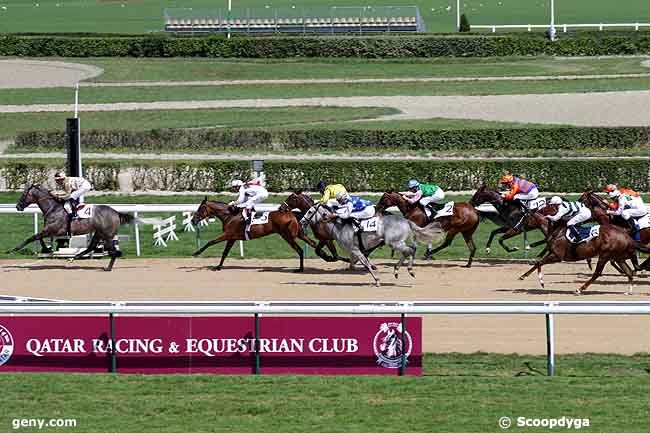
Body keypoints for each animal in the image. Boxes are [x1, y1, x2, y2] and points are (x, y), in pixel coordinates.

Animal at [9, 185, 161, 270]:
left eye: (24, 194)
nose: (17, 206)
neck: (53, 208)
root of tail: (116, 213)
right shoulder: (51, 231)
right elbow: (38, 238)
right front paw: (46, 249)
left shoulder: (53, 230)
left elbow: (32, 237)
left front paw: (13, 250)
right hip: (99, 233)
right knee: (91, 247)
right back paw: (73, 258)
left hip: (107, 235)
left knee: (113, 252)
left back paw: (108, 268)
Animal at [189, 198, 318, 272]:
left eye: (200, 208)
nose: (193, 220)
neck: (230, 215)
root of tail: (292, 213)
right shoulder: (232, 238)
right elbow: (225, 252)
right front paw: (218, 267)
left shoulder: (227, 234)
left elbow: (210, 242)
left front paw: (196, 252)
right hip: (297, 234)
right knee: (312, 243)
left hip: (288, 236)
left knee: (300, 250)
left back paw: (300, 269)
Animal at [302, 204, 442, 286]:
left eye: (309, 212)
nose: (302, 221)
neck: (339, 225)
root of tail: (406, 220)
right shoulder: (356, 251)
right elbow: (355, 264)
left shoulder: (354, 249)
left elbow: (365, 263)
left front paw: (377, 280)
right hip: (396, 242)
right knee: (411, 249)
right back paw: (398, 270)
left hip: (394, 242)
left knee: (410, 250)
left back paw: (408, 269)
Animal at [516, 210, 644, 294]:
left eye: (525, 218)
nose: (516, 227)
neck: (556, 231)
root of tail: (626, 235)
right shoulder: (552, 253)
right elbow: (537, 263)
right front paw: (523, 276)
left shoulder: (557, 256)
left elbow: (539, 263)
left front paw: (541, 282)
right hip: (617, 256)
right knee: (629, 272)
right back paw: (629, 291)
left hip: (605, 255)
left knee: (597, 273)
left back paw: (580, 289)